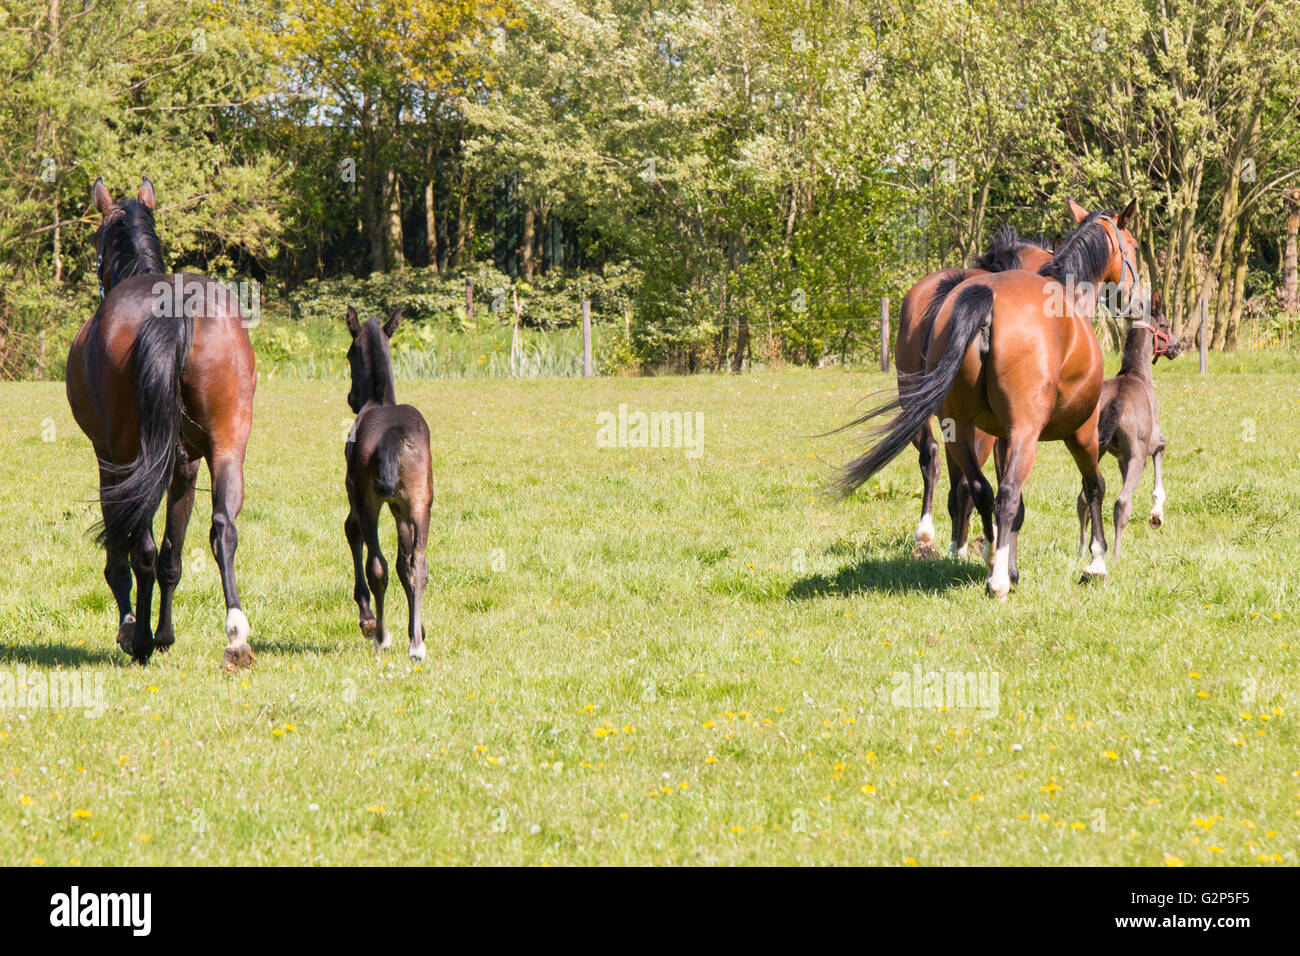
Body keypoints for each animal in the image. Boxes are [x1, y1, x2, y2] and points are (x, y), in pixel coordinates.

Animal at [65, 180, 256, 671]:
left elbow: (127, 551)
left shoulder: (107, 458)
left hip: (130, 453)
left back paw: (139, 641)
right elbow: (174, 553)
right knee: (223, 529)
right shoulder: (185, 465)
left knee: (141, 548)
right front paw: (166, 634)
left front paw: (136, 628)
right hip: (227, 445)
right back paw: (235, 635)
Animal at [343, 308, 434, 665]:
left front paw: (367, 620)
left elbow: (352, 532)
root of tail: (393, 436)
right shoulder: (400, 506)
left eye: (348, 354)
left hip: (369, 501)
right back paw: (416, 645)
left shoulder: (356, 495)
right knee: (418, 564)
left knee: (376, 564)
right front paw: (417, 630)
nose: (351, 398)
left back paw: (381, 636)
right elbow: (404, 562)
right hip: (421, 501)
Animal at [1076, 295, 1180, 556]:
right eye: (1165, 324)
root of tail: (1117, 402)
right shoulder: (1151, 444)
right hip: (1138, 455)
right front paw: (1156, 516)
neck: (1136, 374)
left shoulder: (1121, 457)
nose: (1177, 346)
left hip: (1093, 452)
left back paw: (1082, 548)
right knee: (1122, 502)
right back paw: (1116, 553)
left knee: (1083, 498)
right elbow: (1161, 454)